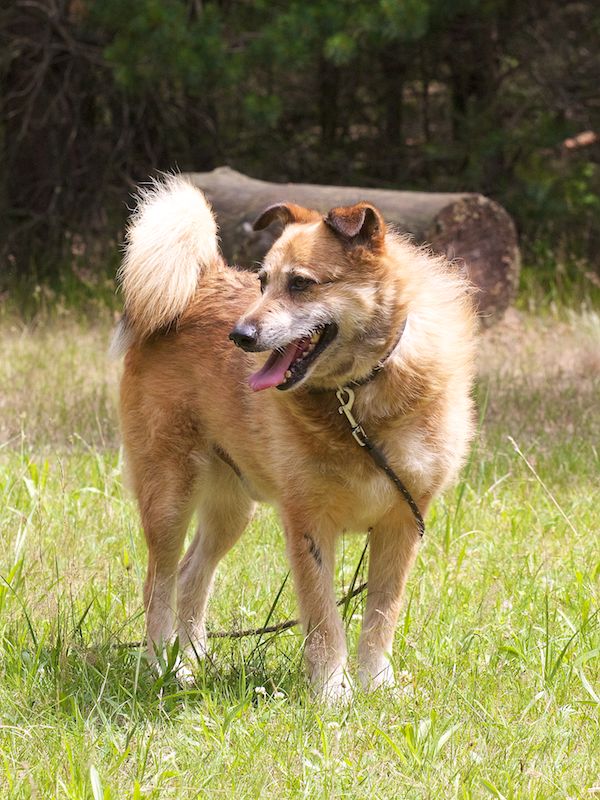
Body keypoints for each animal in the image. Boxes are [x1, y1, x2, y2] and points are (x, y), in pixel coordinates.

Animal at [113, 175, 477, 701]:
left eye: (301, 283)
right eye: (262, 281)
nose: (239, 335)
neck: (355, 395)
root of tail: (201, 281)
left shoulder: (402, 523)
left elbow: (381, 615)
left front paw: (376, 684)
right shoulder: (308, 524)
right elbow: (324, 618)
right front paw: (332, 692)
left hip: (230, 509)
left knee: (191, 574)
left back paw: (195, 659)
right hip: (168, 496)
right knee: (158, 582)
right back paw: (166, 667)